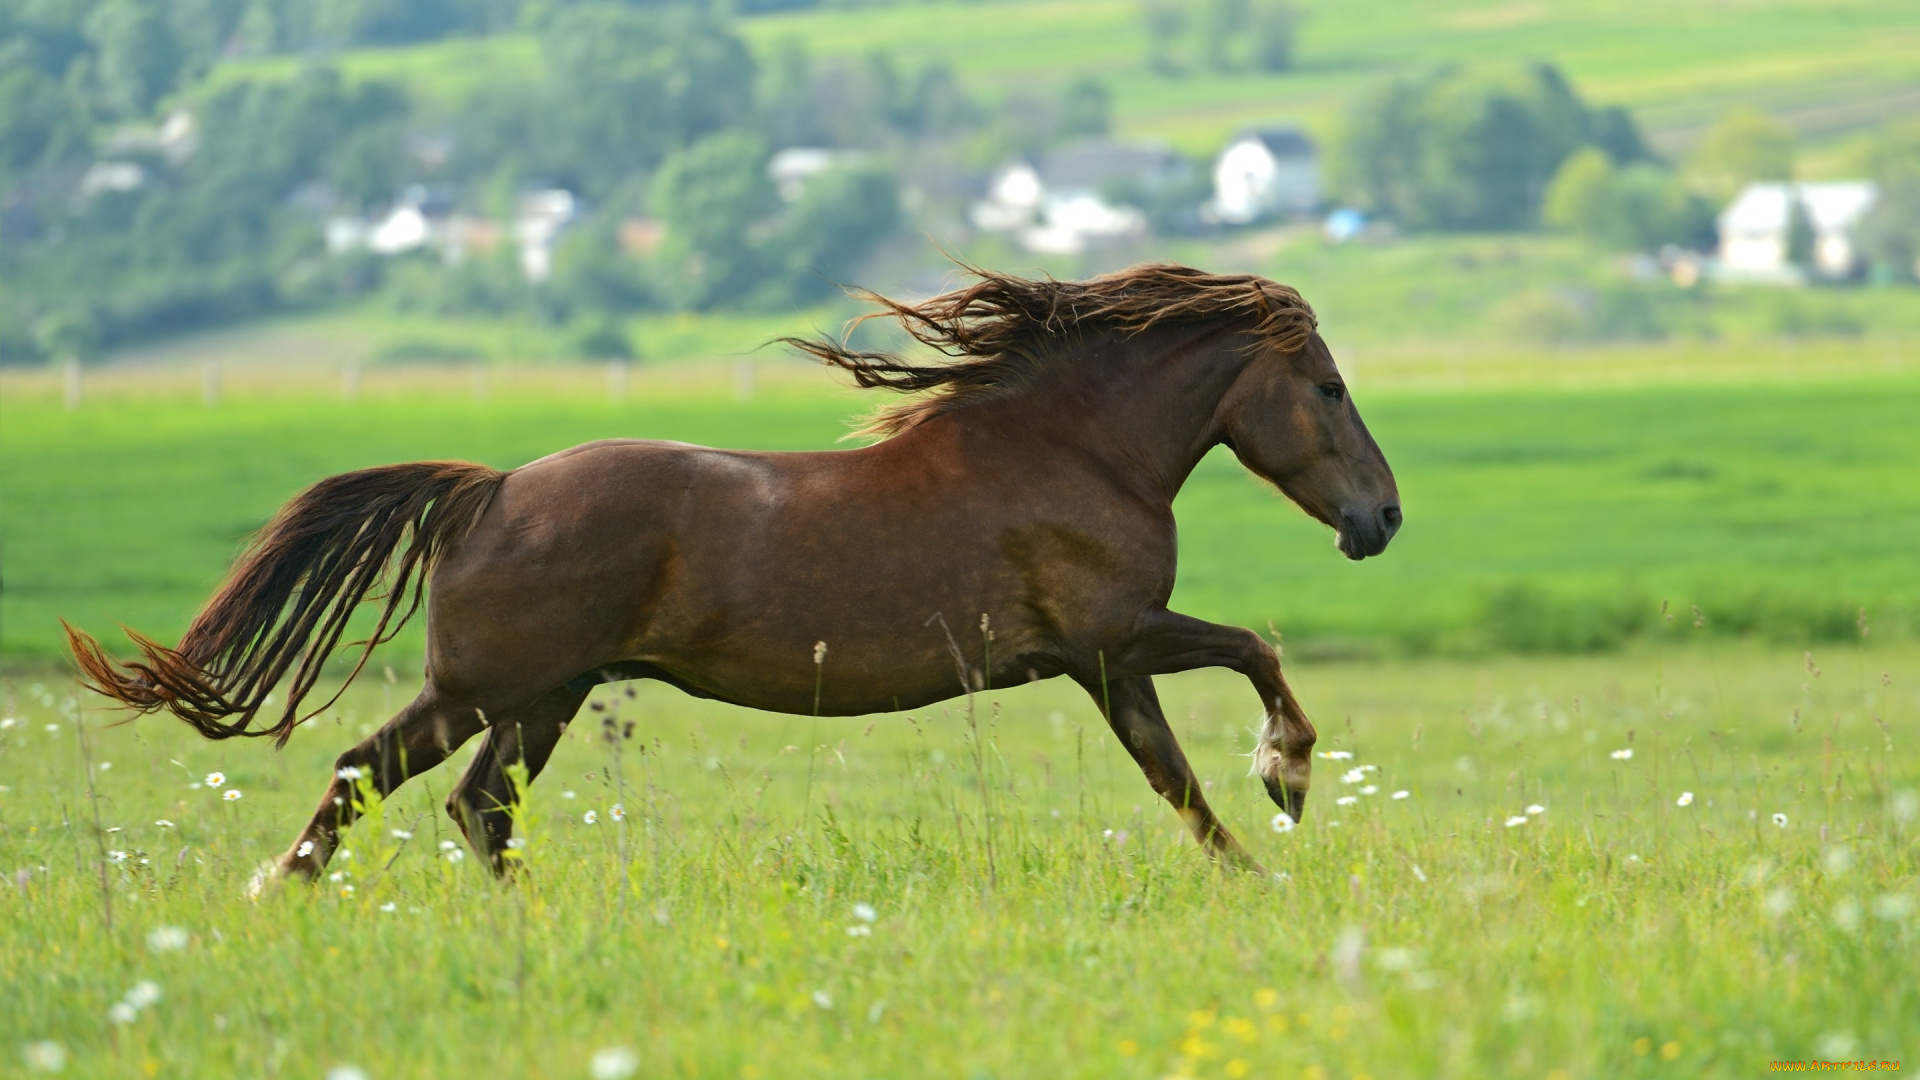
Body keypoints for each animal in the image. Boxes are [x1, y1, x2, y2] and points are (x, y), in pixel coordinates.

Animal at [67, 263, 1405, 883]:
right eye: (1330, 386)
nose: (1381, 520)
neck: (1071, 448)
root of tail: (490, 492)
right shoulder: (1115, 637)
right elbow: (1250, 663)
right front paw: (1287, 787)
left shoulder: (1104, 664)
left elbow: (1177, 782)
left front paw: (1256, 863)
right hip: (494, 690)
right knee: (384, 777)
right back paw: (291, 894)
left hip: (544, 698)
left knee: (466, 803)